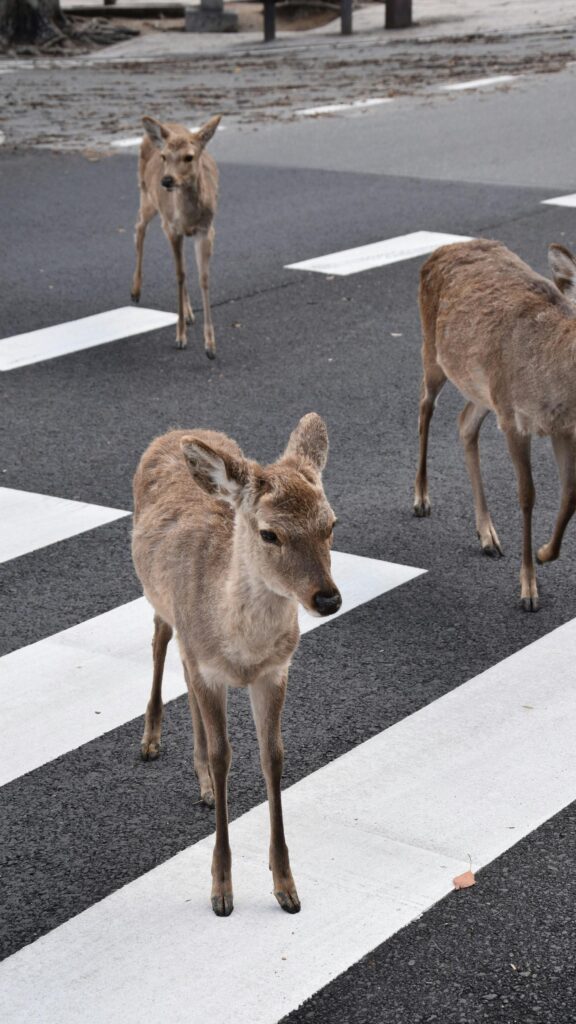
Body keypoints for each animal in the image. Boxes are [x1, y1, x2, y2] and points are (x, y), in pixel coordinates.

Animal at [130, 114, 221, 359]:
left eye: (189, 156)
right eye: (164, 156)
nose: (167, 180)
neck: (187, 215)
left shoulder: (206, 230)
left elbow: (203, 277)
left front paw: (210, 346)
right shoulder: (172, 228)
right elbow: (179, 275)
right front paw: (180, 337)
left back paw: (189, 314)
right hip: (147, 197)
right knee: (139, 227)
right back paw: (135, 291)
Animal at [132, 413, 342, 917]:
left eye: (331, 524)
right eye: (269, 533)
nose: (327, 599)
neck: (241, 650)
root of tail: (176, 432)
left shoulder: (274, 671)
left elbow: (273, 756)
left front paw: (286, 885)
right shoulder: (209, 667)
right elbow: (223, 754)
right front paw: (221, 890)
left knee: (182, 674)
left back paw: (204, 787)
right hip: (160, 603)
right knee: (160, 641)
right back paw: (151, 740)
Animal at [413, 238, 576, 612]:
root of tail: (446, 248)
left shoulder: (562, 427)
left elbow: (570, 494)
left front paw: (545, 553)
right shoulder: (514, 418)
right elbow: (527, 495)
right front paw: (529, 589)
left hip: (483, 388)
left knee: (464, 423)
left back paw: (487, 535)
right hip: (433, 350)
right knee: (426, 406)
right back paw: (421, 499)